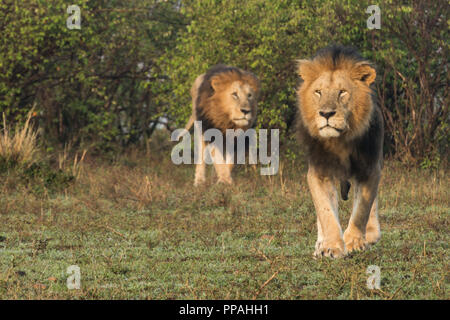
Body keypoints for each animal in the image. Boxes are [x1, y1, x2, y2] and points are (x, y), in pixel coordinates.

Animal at [298, 46, 384, 258]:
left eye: (342, 92)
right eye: (318, 92)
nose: (326, 114)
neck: (340, 140)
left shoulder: (370, 168)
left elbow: (362, 209)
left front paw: (355, 242)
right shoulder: (319, 172)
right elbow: (325, 211)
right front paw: (331, 247)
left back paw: (371, 234)